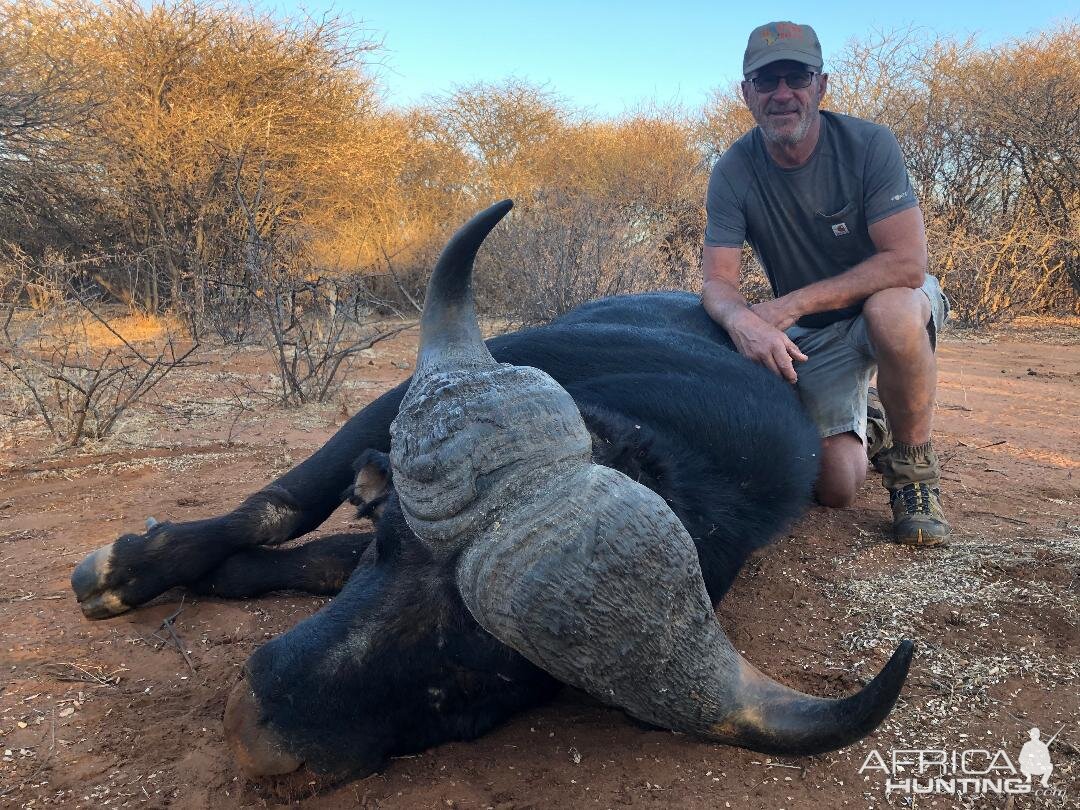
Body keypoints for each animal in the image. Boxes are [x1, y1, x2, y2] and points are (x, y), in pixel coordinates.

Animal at [69, 201, 911, 781]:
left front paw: (228, 574)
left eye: (474, 678)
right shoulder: (384, 411)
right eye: (386, 551)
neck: (668, 436)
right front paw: (127, 568)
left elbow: (313, 553)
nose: (257, 735)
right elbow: (275, 509)